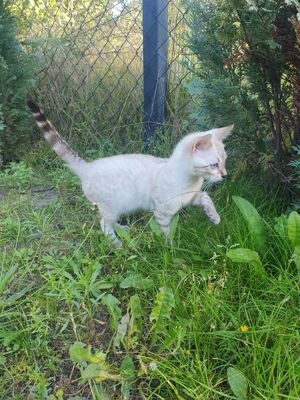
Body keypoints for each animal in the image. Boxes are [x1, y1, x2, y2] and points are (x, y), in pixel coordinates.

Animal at [27, 99, 232, 247]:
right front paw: (171, 248)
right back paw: (116, 244)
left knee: (107, 220)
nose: (225, 175)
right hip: (113, 205)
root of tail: (87, 167)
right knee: (104, 224)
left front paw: (214, 217)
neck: (190, 180)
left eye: (225, 161)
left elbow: (206, 197)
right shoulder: (162, 212)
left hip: (117, 207)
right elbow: (166, 232)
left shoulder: (190, 197)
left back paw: (123, 229)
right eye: (214, 165)